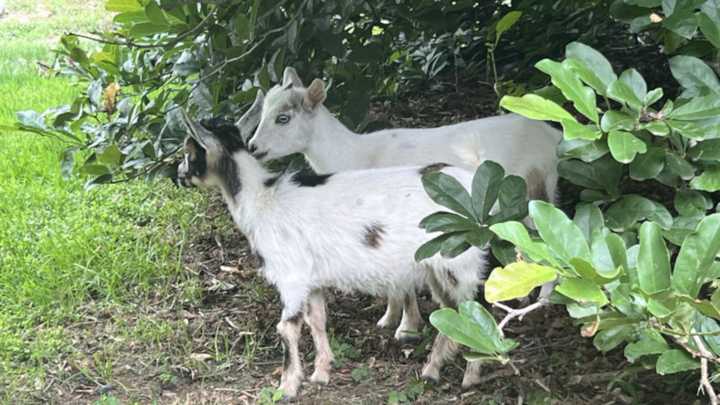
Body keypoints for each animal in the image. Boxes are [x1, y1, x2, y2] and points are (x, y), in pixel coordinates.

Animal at [176, 113, 490, 398]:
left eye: (189, 151)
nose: (179, 175)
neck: (264, 201)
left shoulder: (292, 276)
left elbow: (287, 328)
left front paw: (287, 387)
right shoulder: (312, 281)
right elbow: (317, 321)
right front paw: (321, 372)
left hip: (457, 262)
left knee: (476, 311)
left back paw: (469, 377)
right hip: (436, 267)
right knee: (451, 312)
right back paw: (432, 370)